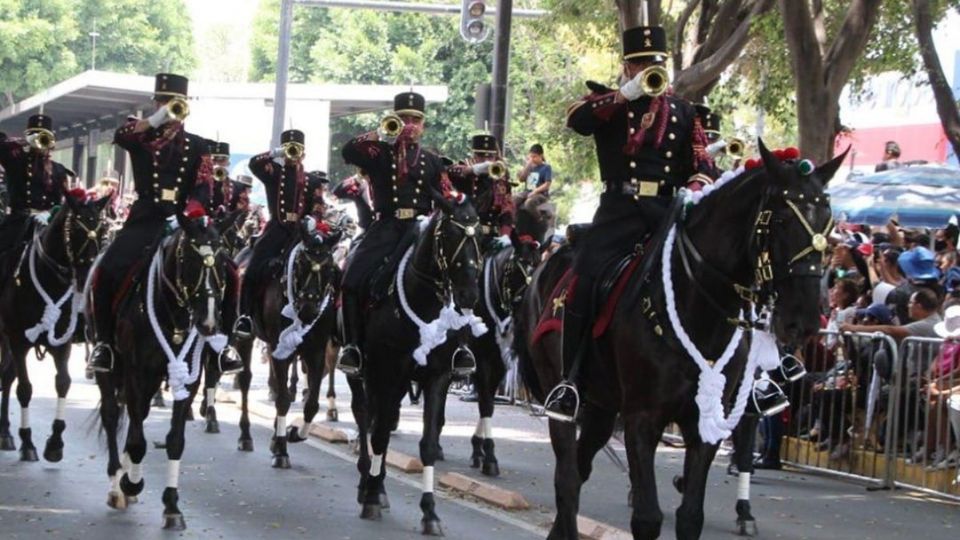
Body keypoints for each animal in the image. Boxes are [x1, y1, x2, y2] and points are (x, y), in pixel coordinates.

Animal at [0, 194, 109, 460]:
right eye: (74, 231)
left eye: (102, 230)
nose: (86, 277)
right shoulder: (18, 340)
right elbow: (25, 388)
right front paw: (28, 441)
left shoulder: (62, 342)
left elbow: (63, 382)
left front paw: (55, 442)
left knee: (6, 376)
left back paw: (5, 432)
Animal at [90, 213, 232, 528]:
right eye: (189, 259)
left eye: (220, 261)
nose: (208, 322)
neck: (173, 314)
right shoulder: (135, 372)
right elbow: (137, 440)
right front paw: (130, 484)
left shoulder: (188, 378)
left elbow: (175, 440)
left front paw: (172, 505)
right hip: (112, 368)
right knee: (112, 414)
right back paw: (117, 485)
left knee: (137, 415)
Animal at [232, 219, 342, 464]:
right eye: (300, 263)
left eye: (329, 267)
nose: (309, 310)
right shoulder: (278, 346)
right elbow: (282, 399)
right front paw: (282, 450)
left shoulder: (316, 351)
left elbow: (311, 403)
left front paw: (293, 434)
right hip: (247, 338)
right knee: (245, 380)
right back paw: (245, 436)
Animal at [350, 198, 484, 536]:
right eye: (449, 234)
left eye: (480, 235)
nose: (470, 295)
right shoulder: (387, 370)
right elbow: (378, 436)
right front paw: (371, 497)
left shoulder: (437, 376)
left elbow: (428, 444)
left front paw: (430, 512)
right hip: (364, 371)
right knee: (364, 415)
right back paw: (367, 482)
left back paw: (378, 484)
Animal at [520, 141, 844, 536]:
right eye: (781, 220)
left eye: (828, 224)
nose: (806, 321)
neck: (698, 308)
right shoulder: (642, 418)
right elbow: (647, 517)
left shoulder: (706, 421)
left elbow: (691, 515)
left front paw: (737, 509)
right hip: (565, 392)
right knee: (567, 476)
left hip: (601, 406)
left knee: (579, 470)